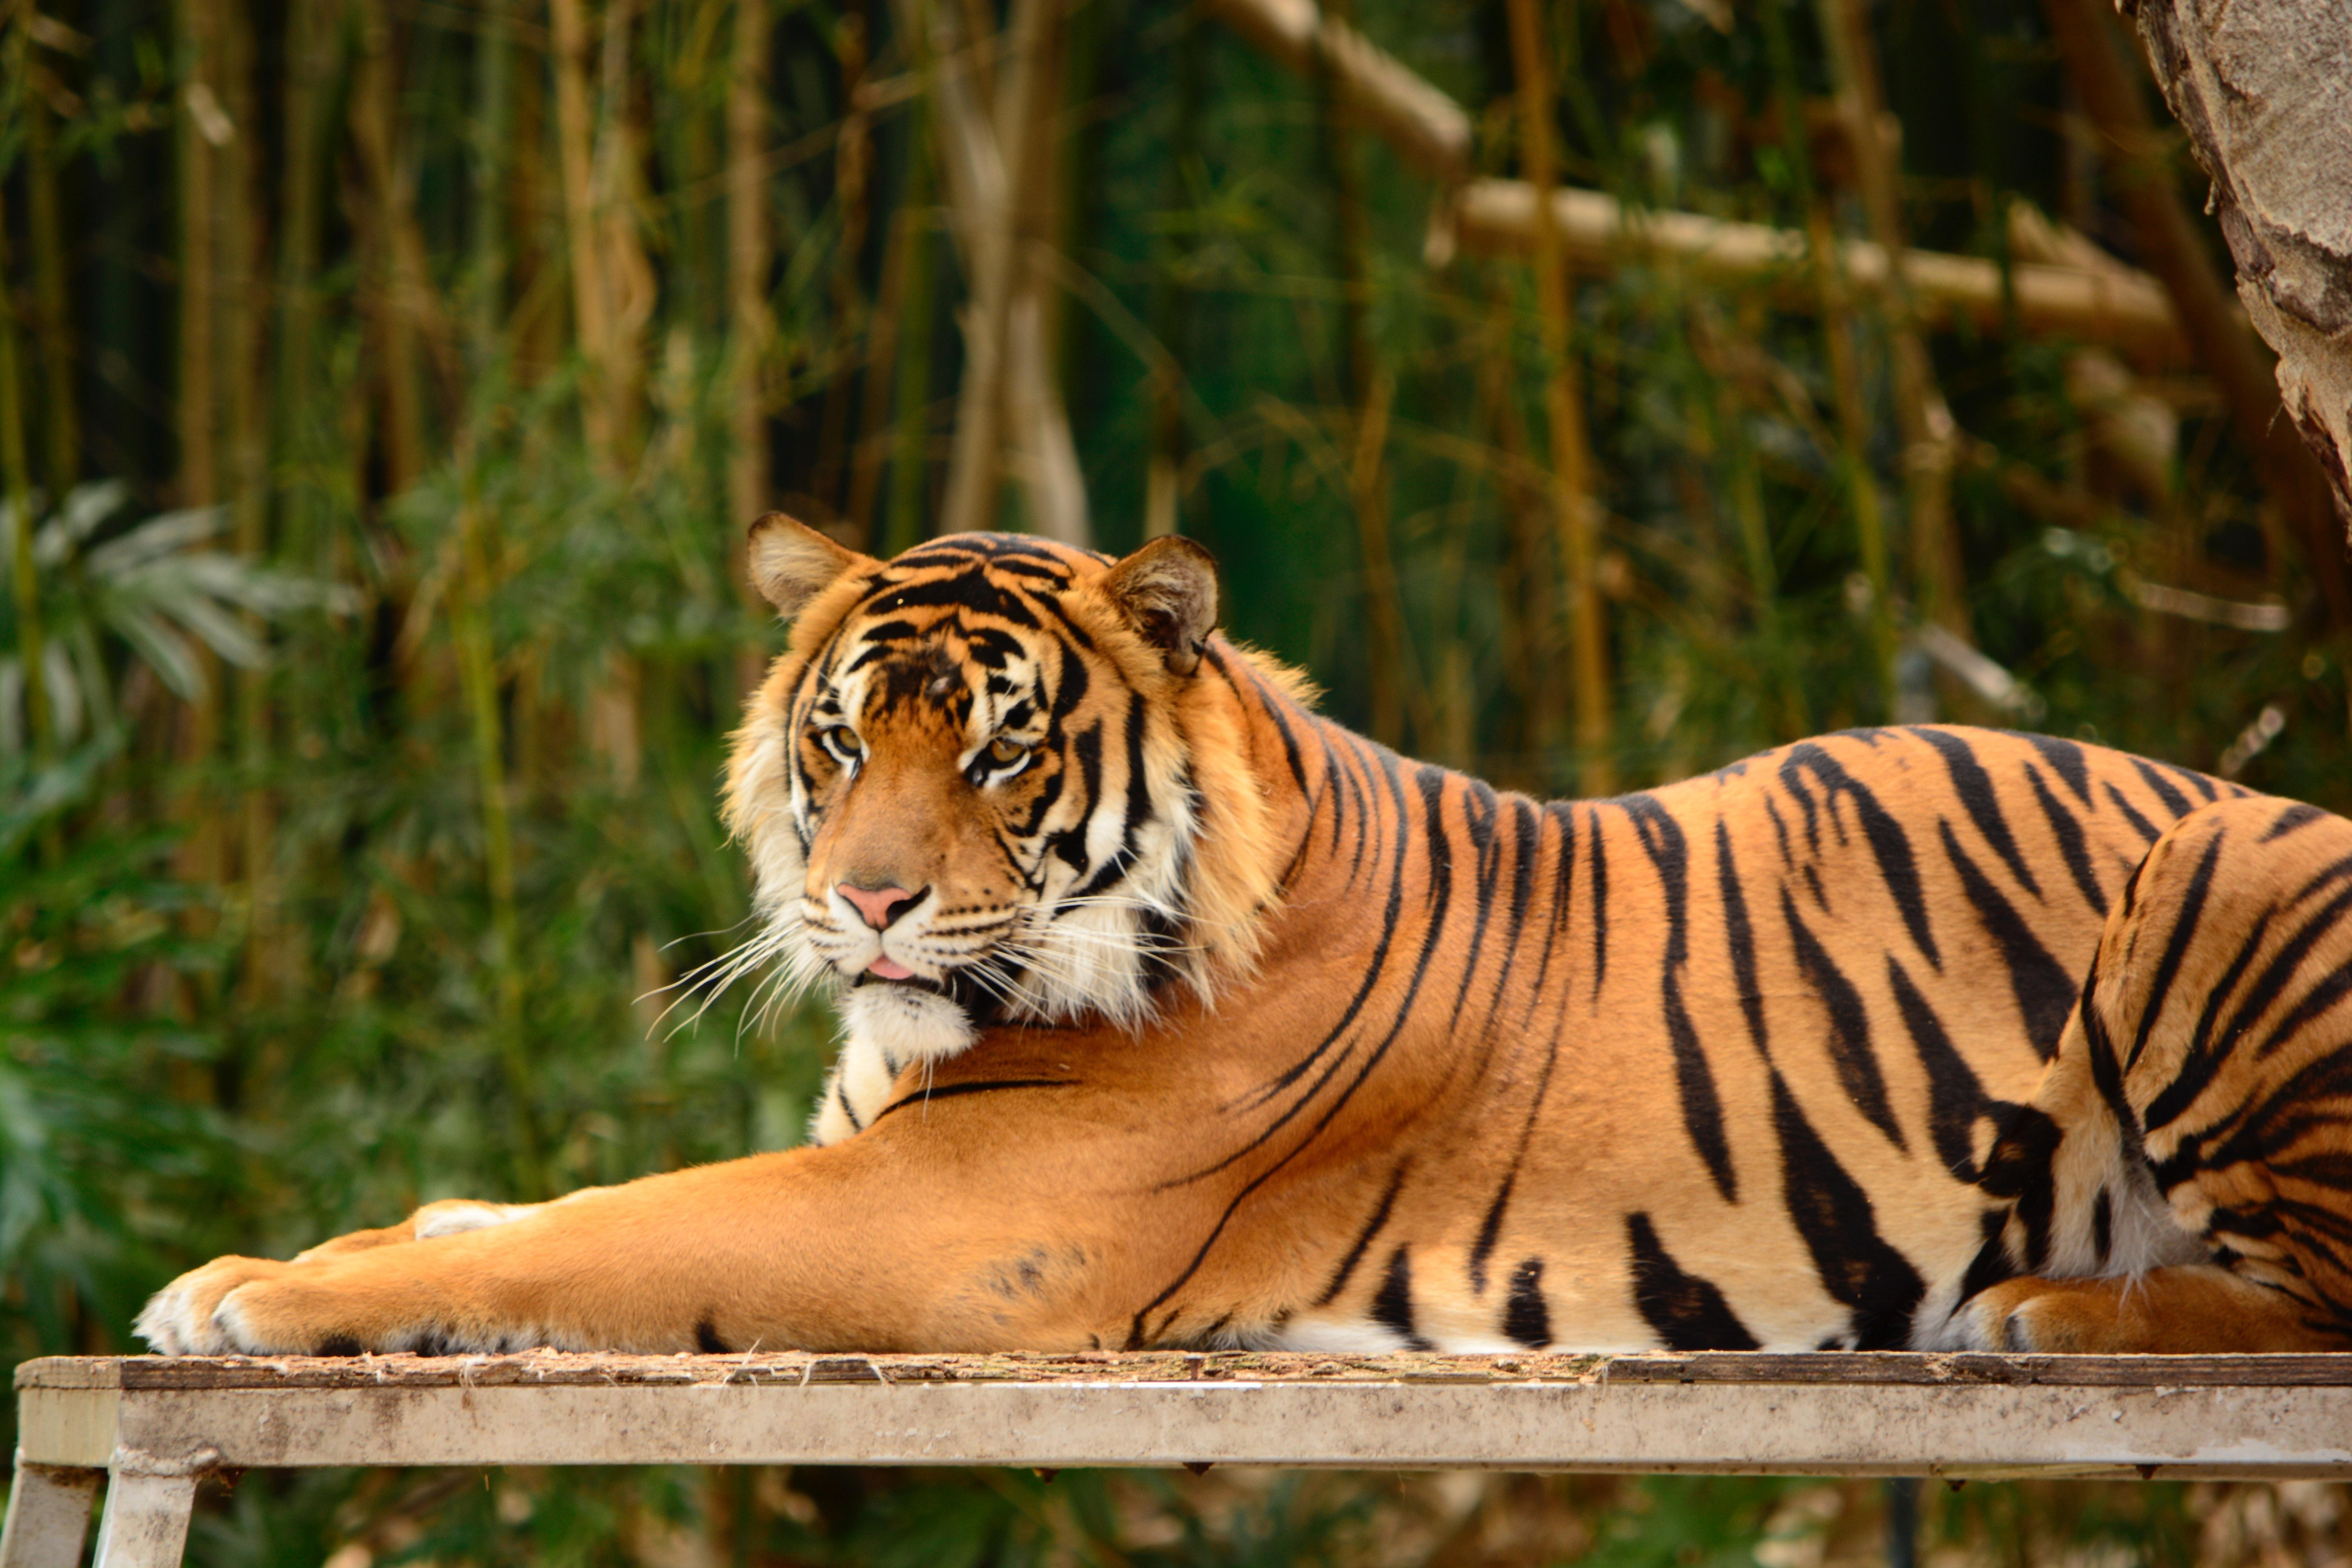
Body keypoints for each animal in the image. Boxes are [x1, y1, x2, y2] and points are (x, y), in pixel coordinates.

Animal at [138, 522, 2352, 1354]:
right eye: (842, 737)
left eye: (999, 746)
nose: (864, 897)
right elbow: (493, 1208)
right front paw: (269, 1261)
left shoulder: (945, 1213)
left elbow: (591, 1231)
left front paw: (249, 1295)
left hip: (2209, 880)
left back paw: (2052, 1310)